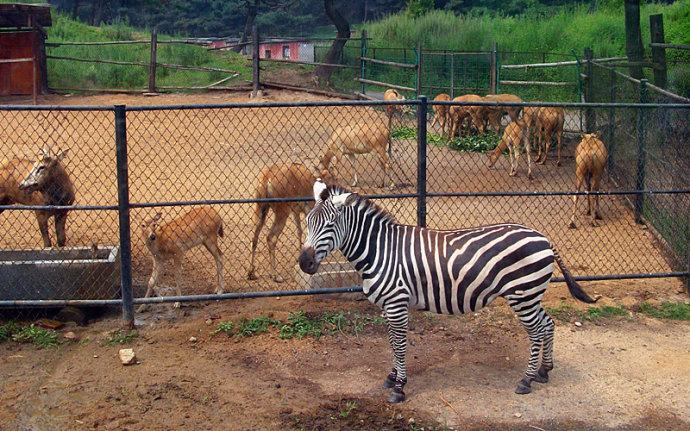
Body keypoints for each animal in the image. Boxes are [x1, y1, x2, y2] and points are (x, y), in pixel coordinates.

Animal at [298, 180, 592, 404]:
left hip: (523, 294)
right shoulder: (387, 306)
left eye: (330, 225)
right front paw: (392, 377)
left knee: (536, 331)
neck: (380, 249)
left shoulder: (397, 303)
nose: (304, 263)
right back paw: (544, 371)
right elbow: (392, 342)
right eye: (308, 222)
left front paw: (399, 387)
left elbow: (401, 345)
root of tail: (543, 237)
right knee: (548, 324)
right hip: (530, 294)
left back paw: (527, 379)